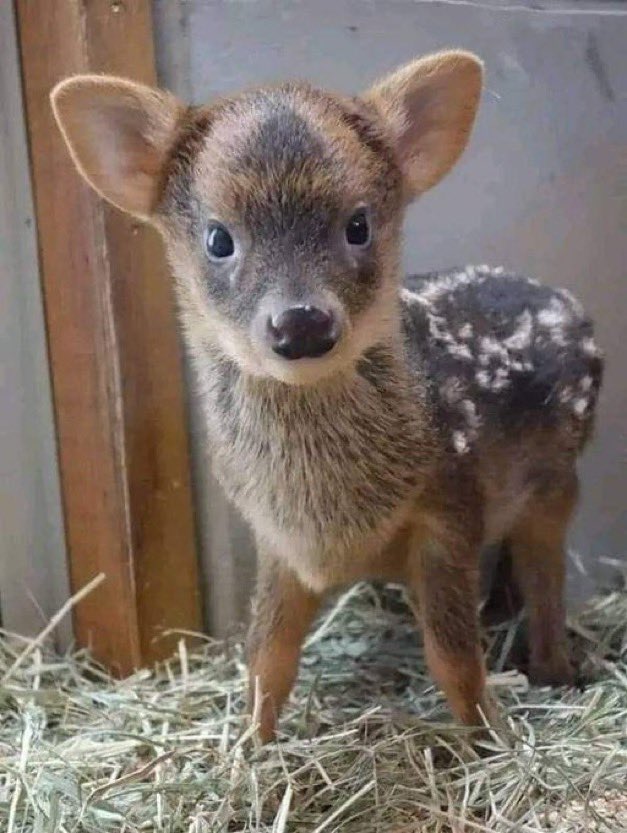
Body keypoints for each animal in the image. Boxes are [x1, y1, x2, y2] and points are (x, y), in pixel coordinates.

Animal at [52, 50, 603, 742]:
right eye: (218, 238)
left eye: (358, 225)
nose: (302, 323)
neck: (330, 519)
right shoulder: (276, 541)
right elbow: (267, 657)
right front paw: (250, 744)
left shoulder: (450, 508)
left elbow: (452, 657)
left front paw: (489, 737)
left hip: (559, 479)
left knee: (546, 575)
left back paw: (555, 672)